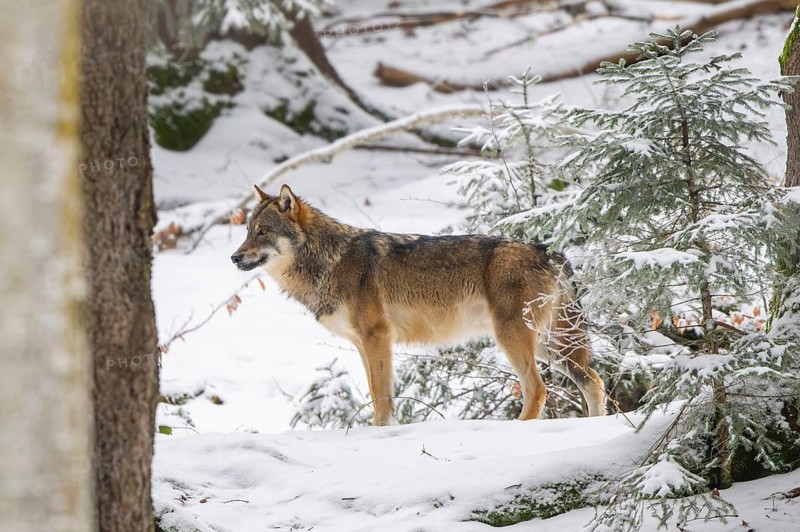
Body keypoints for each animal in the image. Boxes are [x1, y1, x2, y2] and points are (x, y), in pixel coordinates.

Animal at [231, 184, 606, 425]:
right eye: (247, 230)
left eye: (263, 232)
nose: (234, 257)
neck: (329, 260)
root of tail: (549, 250)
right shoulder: (363, 345)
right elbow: (378, 393)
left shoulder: (377, 337)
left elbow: (381, 397)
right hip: (548, 347)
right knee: (593, 380)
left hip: (515, 339)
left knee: (538, 388)